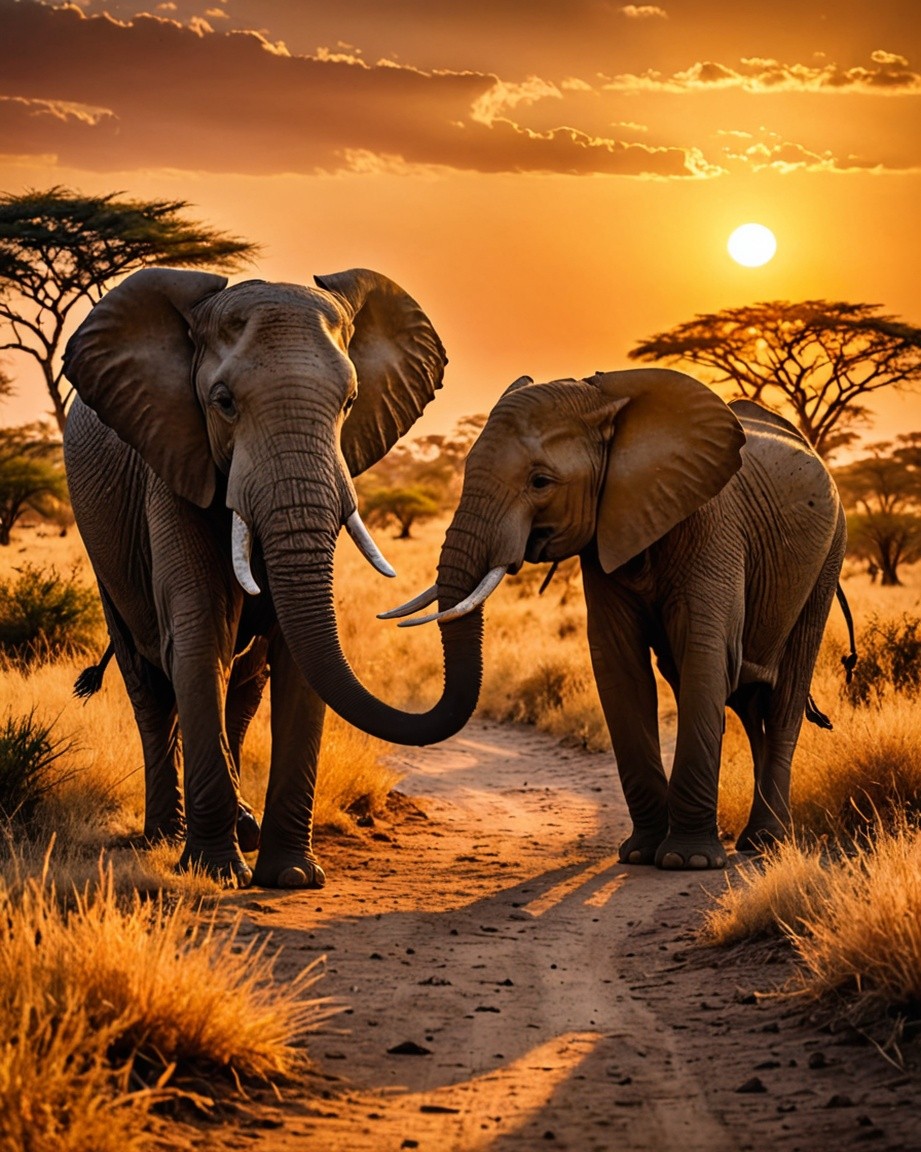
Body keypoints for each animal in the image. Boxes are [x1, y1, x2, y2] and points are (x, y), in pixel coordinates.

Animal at [62, 266, 487, 889]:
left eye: (350, 402)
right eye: (223, 402)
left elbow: (296, 653)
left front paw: (291, 875)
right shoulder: (172, 464)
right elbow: (199, 637)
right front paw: (216, 873)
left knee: (242, 687)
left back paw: (242, 829)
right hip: (103, 550)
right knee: (151, 684)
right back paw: (166, 836)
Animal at [385, 368, 846, 869]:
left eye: (541, 482)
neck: (606, 403)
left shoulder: (711, 524)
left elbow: (706, 653)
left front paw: (686, 861)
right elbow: (619, 663)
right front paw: (642, 853)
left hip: (829, 556)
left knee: (783, 694)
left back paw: (765, 842)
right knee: (743, 701)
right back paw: (753, 839)